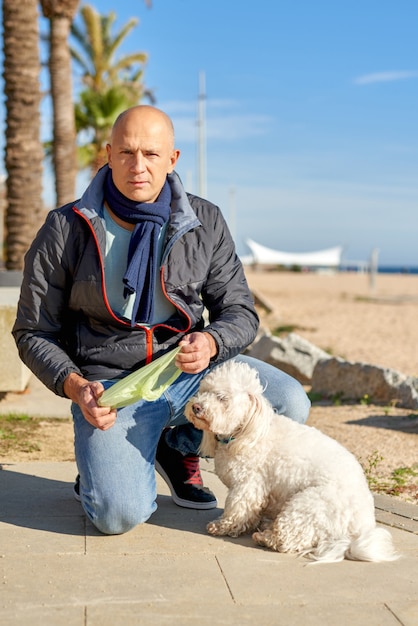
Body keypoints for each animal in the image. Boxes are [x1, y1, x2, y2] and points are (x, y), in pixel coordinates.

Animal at [186, 358, 398, 564]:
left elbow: (237, 510)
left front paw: (222, 526)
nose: (196, 407)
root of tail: (357, 533)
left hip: (306, 505)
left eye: (222, 398)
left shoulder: (247, 486)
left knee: (287, 540)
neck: (247, 432)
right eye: (203, 391)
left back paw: (266, 537)